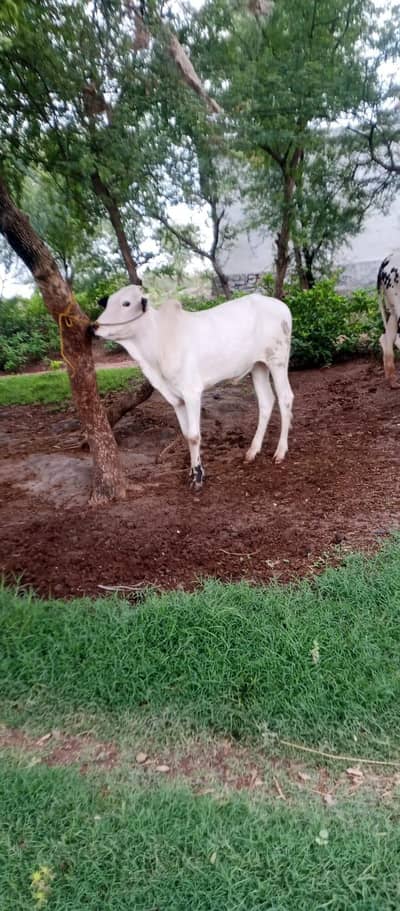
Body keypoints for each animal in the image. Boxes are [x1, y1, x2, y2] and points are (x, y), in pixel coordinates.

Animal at [93, 286, 294, 488]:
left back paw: (281, 451)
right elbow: (186, 434)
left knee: (285, 398)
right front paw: (192, 472)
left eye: (126, 303)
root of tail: (280, 304)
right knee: (266, 401)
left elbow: (194, 436)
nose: (95, 326)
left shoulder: (192, 393)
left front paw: (198, 476)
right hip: (258, 366)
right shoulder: (177, 400)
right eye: (107, 302)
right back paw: (253, 451)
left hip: (277, 361)